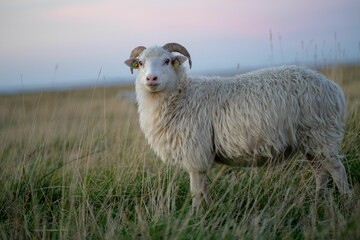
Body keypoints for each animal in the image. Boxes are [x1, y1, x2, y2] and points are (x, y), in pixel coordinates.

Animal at [124, 42, 352, 207]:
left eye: (167, 60)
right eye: (140, 63)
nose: (151, 78)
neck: (182, 96)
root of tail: (333, 88)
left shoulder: (195, 155)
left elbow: (196, 192)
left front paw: (196, 216)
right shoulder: (200, 156)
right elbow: (203, 190)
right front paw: (209, 212)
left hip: (322, 135)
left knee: (338, 171)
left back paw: (347, 204)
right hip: (310, 142)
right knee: (320, 173)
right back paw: (318, 201)